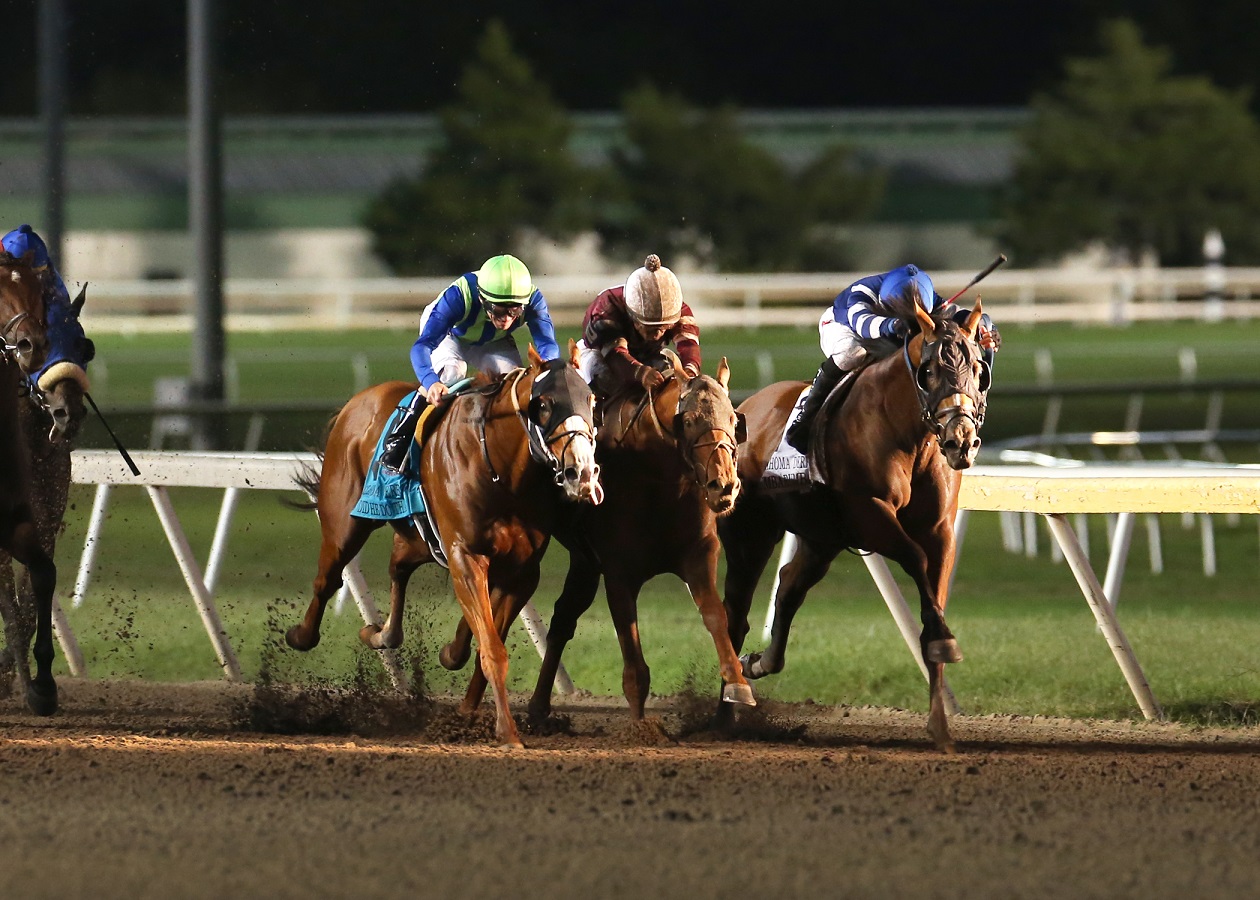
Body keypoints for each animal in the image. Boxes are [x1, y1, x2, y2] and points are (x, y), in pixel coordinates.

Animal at [288, 340, 602, 746]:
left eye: (590, 399)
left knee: (398, 565)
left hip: (419, 537)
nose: (582, 471)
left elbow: (489, 638)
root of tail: (358, 402)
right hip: (345, 523)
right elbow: (493, 650)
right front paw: (507, 731)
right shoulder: (465, 555)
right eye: (544, 404)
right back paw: (302, 635)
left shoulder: (521, 570)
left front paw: (465, 688)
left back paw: (382, 634)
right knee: (327, 579)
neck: (504, 472)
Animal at [443, 350, 756, 731]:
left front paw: (738, 683)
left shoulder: (698, 557)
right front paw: (640, 728)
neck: (661, 483)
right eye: (690, 419)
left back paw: (537, 705)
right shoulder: (620, 573)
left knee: (562, 618)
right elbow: (633, 659)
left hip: (583, 562)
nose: (724, 485)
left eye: (733, 419)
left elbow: (716, 616)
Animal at [720, 301, 992, 751]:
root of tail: (743, 411)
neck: (907, 433)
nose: (961, 440)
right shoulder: (870, 515)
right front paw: (944, 641)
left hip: (820, 539)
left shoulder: (939, 531)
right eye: (929, 369)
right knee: (733, 616)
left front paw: (940, 723)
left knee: (789, 586)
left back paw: (758, 664)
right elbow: (915, 559)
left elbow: (932, 596)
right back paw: (727, 709)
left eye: (977, 366)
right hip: (749, 535)